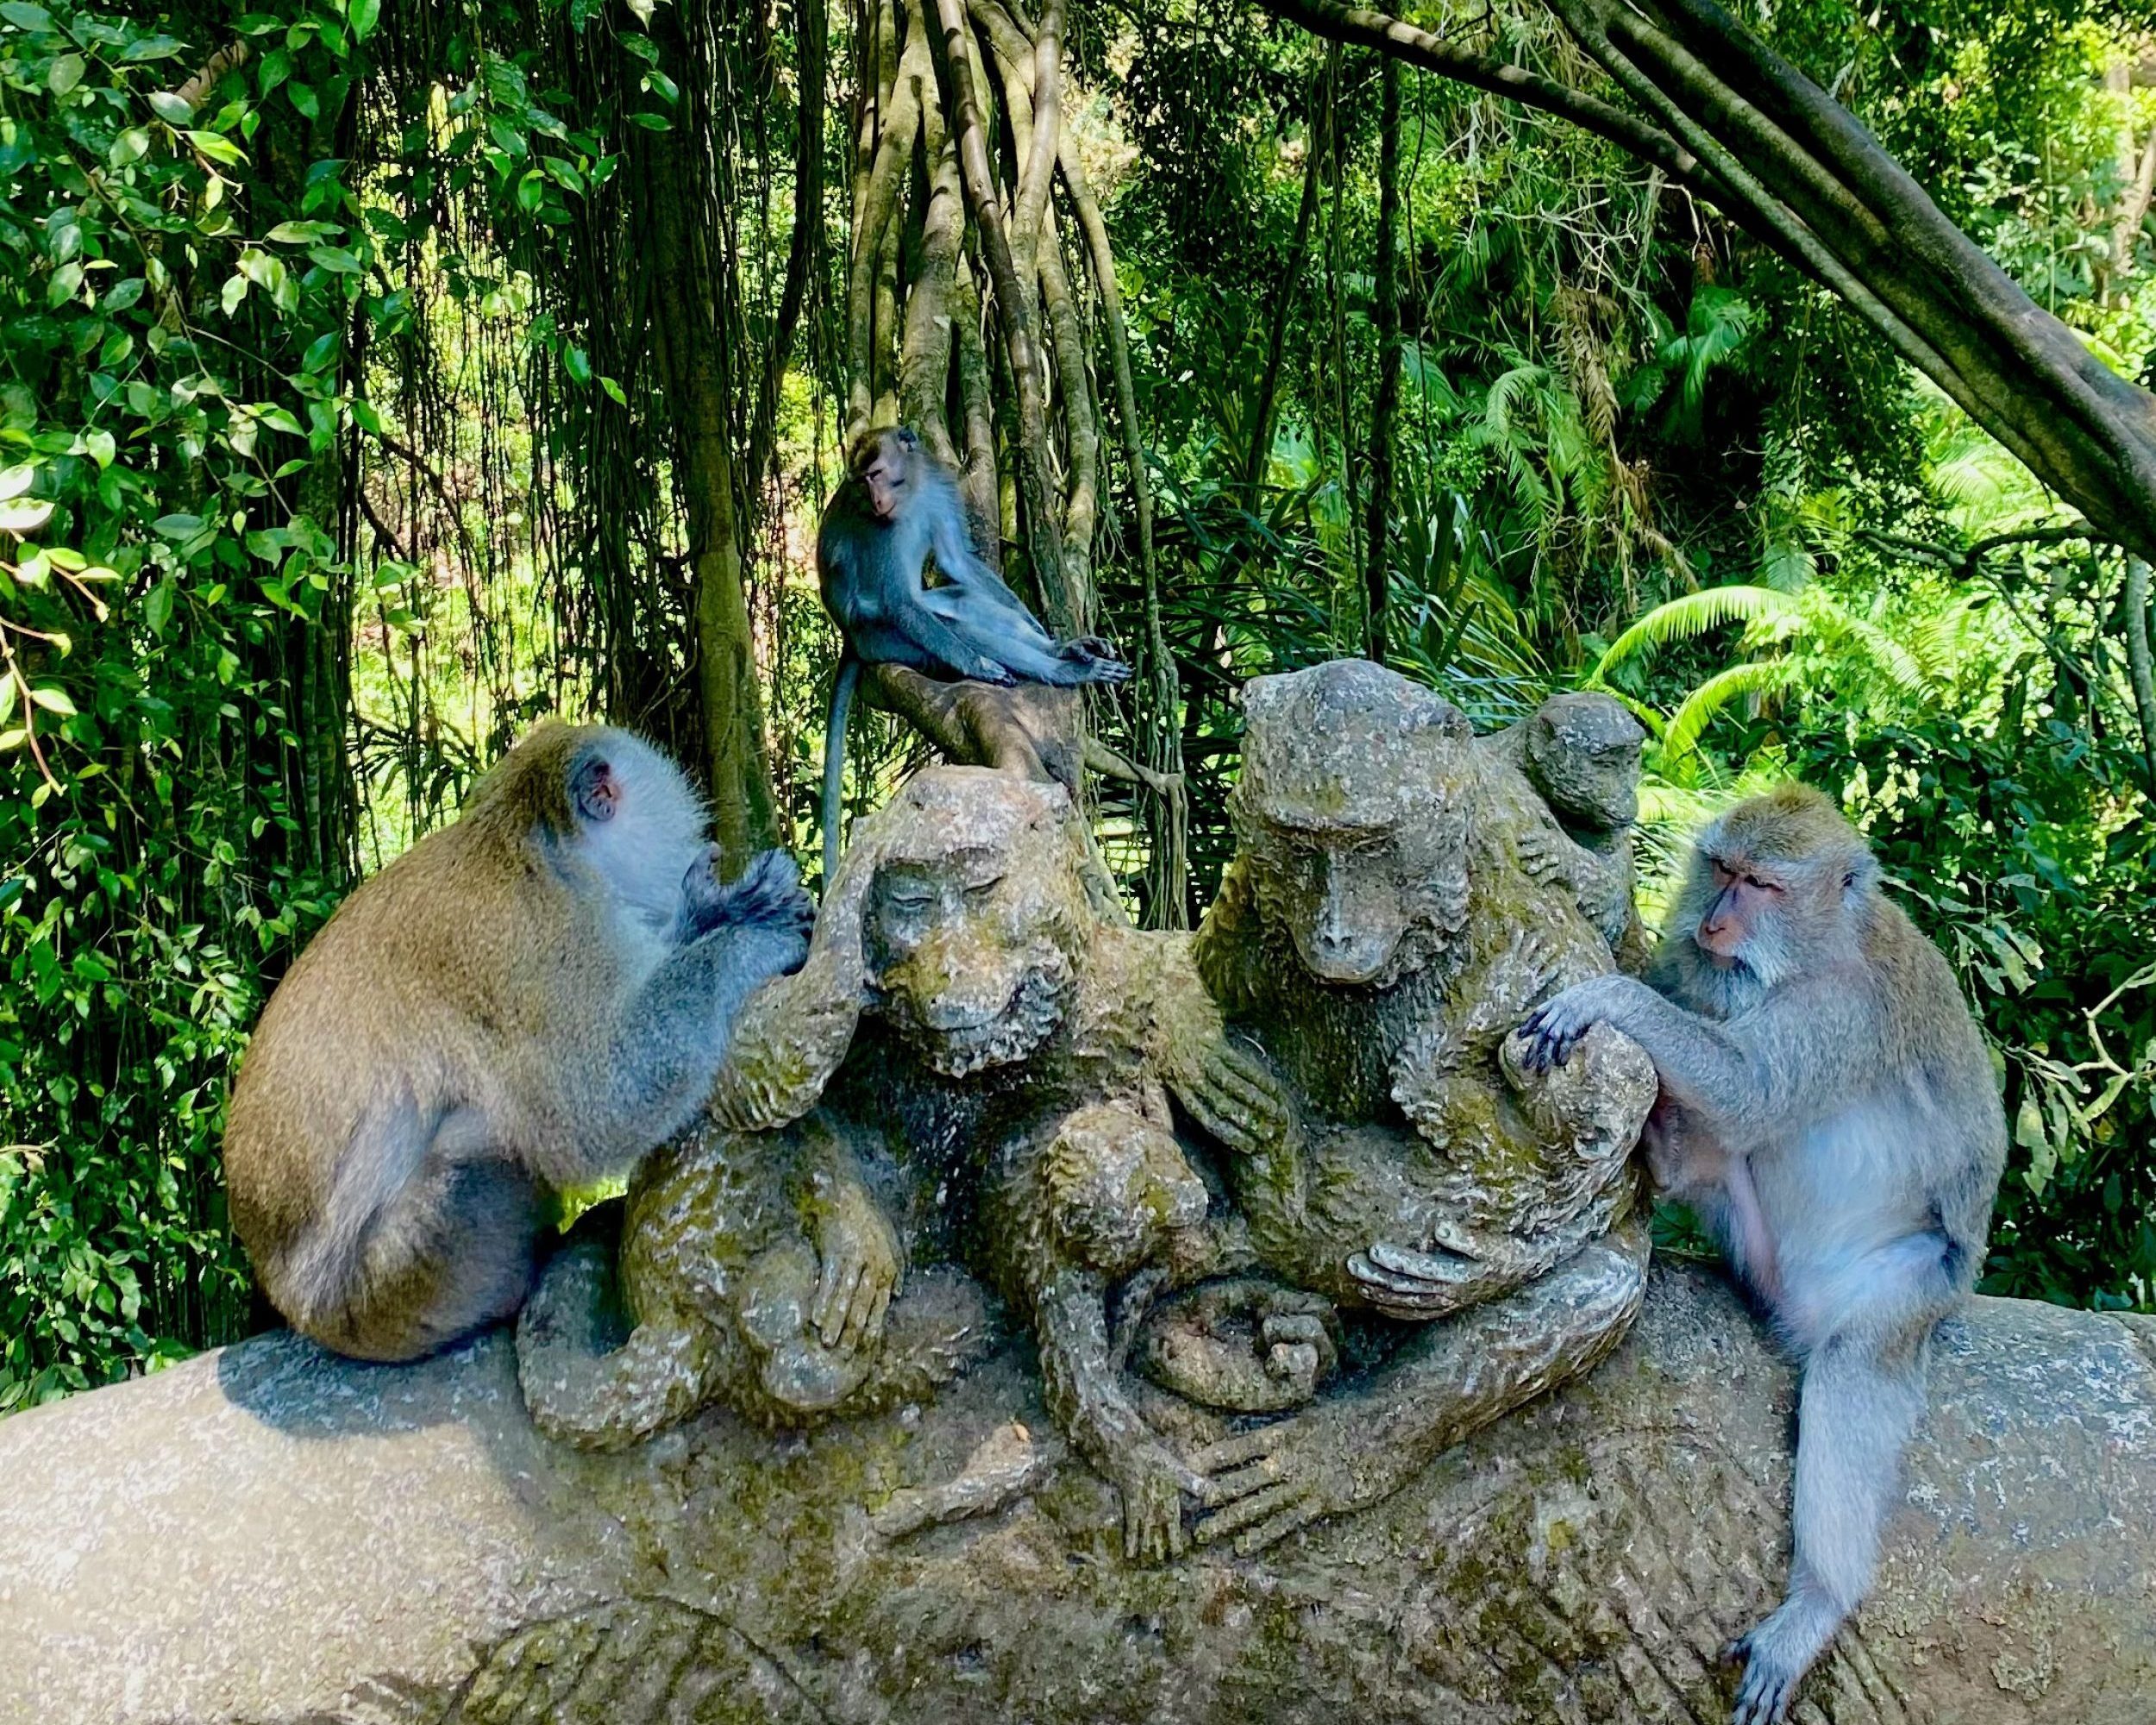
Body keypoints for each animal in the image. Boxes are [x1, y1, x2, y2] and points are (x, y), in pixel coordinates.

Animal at [223, 720, 817, 1365]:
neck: (533, 836)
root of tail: (292, 1305)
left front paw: (704, 913)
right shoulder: (539, 940)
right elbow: (597, 1103)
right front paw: (745, 934)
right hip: (396, 1285)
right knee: (483, 1141)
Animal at [816, 425, 1131, 879]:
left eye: (875, 474)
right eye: (861, 482)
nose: (874, 499)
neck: (910, 490)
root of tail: (849, 639)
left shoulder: (940, 486)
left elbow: (958, 562)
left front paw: (1052, 637)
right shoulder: (879, 533)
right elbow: (899, 602)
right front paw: (978, 664)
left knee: (964, 600)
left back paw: (1065, 652)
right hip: (884, 639)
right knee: (947, 626)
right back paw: (1062, 671)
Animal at [1518, 783, 2006, 1725]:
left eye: (1762, 887)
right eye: (1722, 870)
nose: (1713, 925)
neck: (1818, 951)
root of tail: (1797, 1304)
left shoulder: (1841, 1016)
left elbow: (1751, 1086)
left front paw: (1610, 997)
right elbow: (1690, 1000)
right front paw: (1581, 871)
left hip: (1908, 1286)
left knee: (1854, 1364)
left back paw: (1817, 1599)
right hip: (1757, 1246)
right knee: (1723, 1154)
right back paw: (1676, 1152)